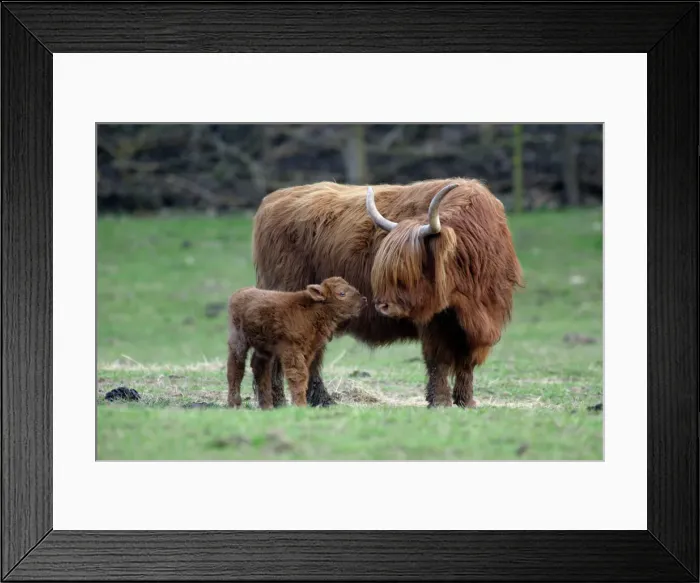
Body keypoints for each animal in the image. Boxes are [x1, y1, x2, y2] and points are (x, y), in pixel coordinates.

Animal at [227, 276, 366, 409]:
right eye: (341, 293)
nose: (363, 300)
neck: (313, 311)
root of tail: (239, 293)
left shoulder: (309, 351)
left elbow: (305, 374)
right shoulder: (293, 350)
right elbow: (298, 375)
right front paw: (300, 405)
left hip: (264, 348)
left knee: (259, 367)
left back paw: (267, 406)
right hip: (239, 341)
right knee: (236, 366)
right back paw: (235, 403)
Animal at [251, 178, 524, 408]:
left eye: (413, 268)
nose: (383, 306)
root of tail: (273, 200)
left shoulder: (479, 321)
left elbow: (466, 363)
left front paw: (466, 401)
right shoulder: (434, 322)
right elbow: (439, 360)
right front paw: (440, 402)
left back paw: (318, 400)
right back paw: (284, 401)